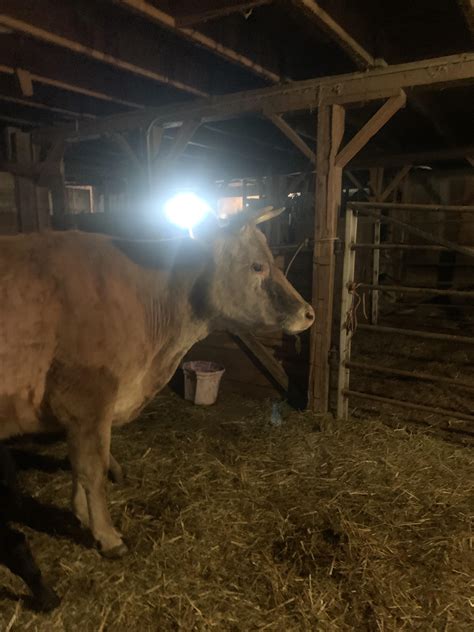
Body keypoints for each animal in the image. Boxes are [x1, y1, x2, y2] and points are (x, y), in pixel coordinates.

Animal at [0, 205, 314, 564]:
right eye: (258, 265)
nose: (309, 313)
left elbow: (82, 467)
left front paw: (81, 516)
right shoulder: (85, 400)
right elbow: (92, 469)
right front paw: (108, 536)